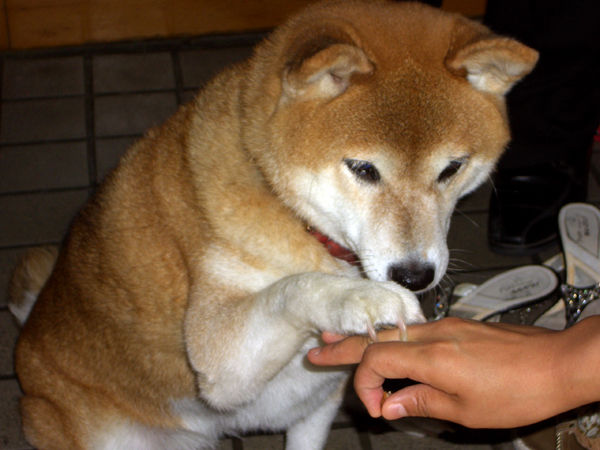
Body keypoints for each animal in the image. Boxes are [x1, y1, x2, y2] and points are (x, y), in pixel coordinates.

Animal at [8, 1, 536, 448]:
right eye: (363, 169)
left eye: (452, 169)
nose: (414, 275)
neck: (296, 217)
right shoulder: (220, 358)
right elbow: (293, 287)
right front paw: (360, 299)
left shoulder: (317, 404)